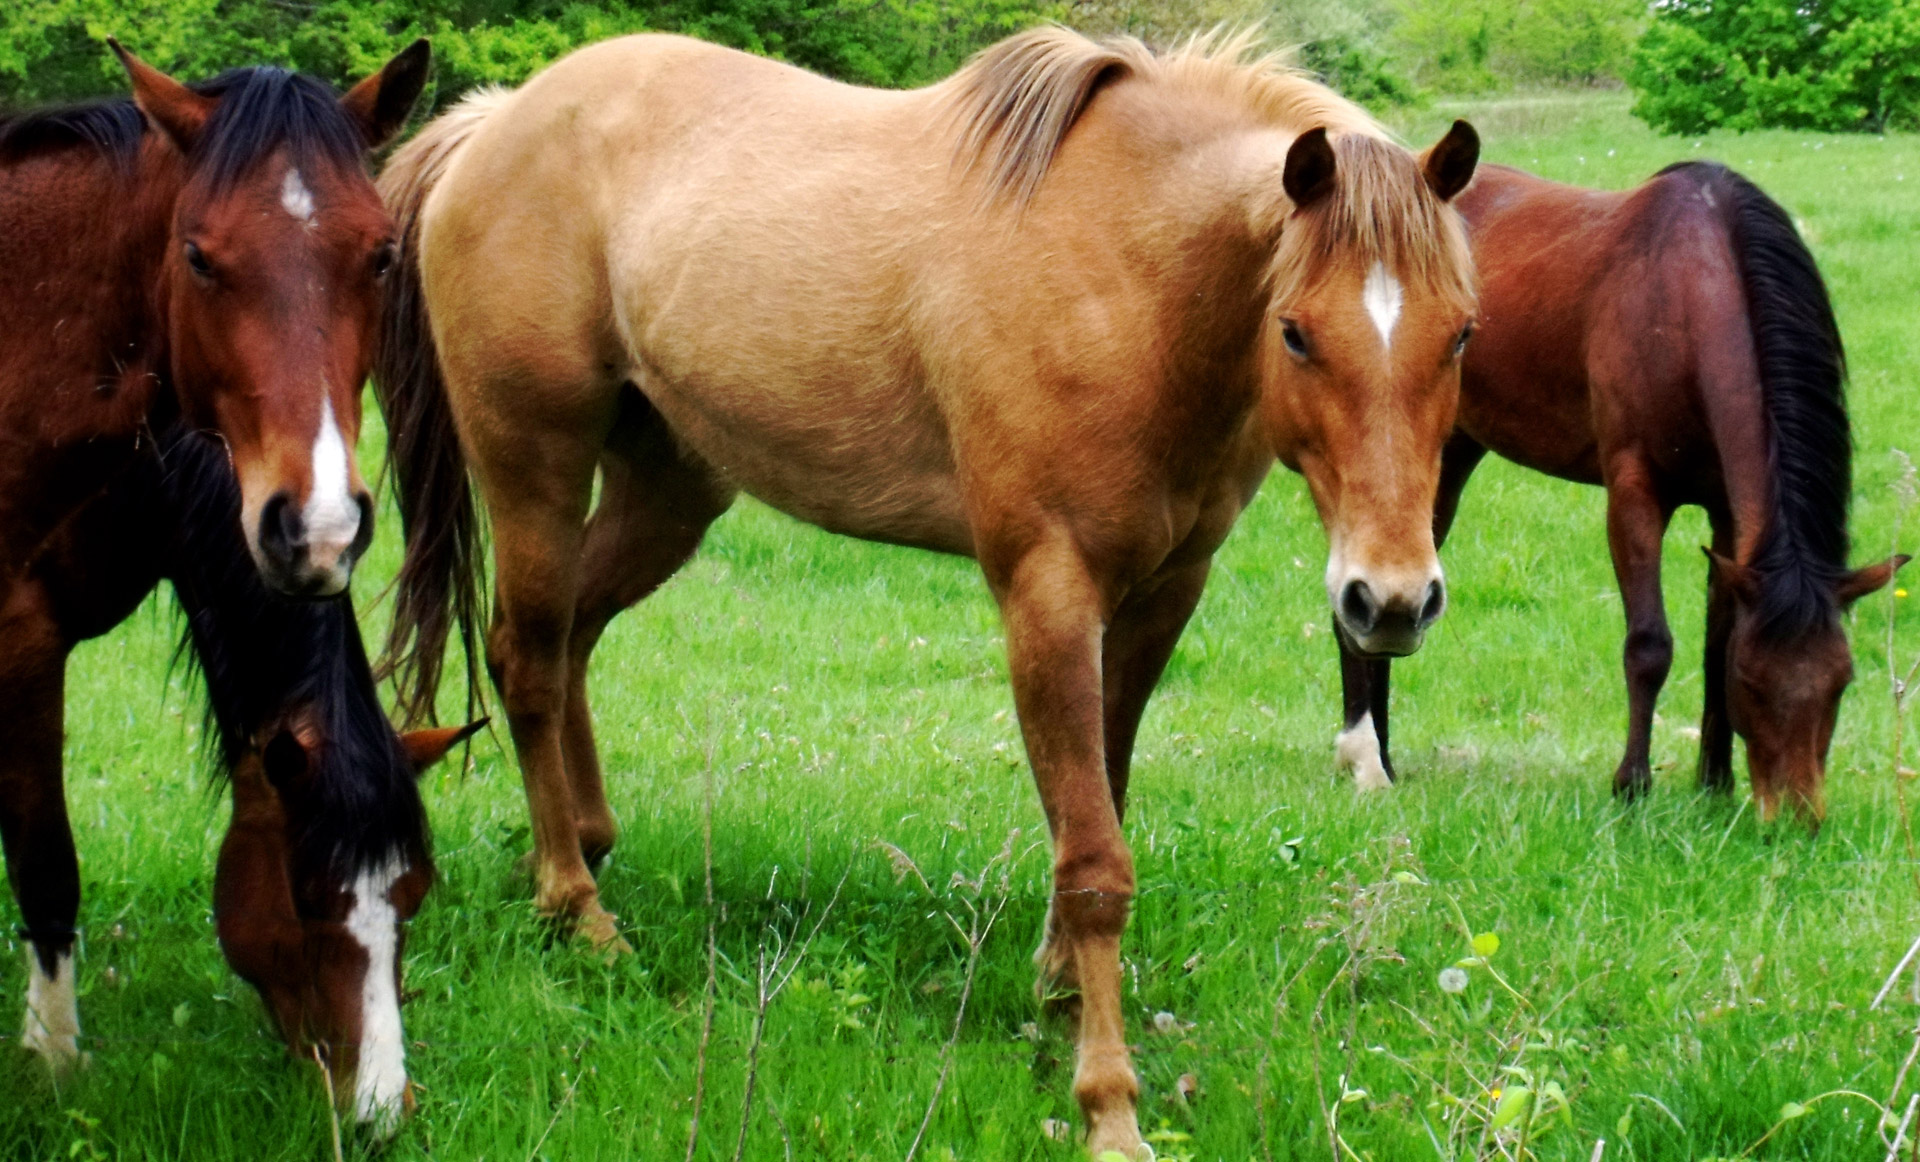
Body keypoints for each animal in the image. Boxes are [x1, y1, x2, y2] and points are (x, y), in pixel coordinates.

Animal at [0, 42, 457, 1130]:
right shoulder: (20, 639)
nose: (379, 1108)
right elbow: (45, 865)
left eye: (383, 255)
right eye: (199, 257)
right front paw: (55, 1060)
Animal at [375, 29, 1479, 1156]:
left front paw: (1057, 995)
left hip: (670, 490)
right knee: (526, 658)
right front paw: (1107, 1101)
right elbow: (1094, 859)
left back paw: (589, 846)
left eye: (1461, 335)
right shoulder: (1048, 594)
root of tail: (491, 126)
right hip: (536, 472)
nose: (1391, 600)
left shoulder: (1166, 592)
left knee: (570, 640)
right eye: (1297, 332)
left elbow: (1102, 797)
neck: (1123, 276)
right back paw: (576, 907)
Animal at [1330, 161, 1904, 824]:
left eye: (1842, 683)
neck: (1687, 299)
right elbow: (1649, 645)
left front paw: (1715, 783)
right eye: (1756, 685)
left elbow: (1716, 640)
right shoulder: (1635, 494)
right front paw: (1632, 785)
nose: (1794, 818)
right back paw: (1372, 757)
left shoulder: (1730, 519)